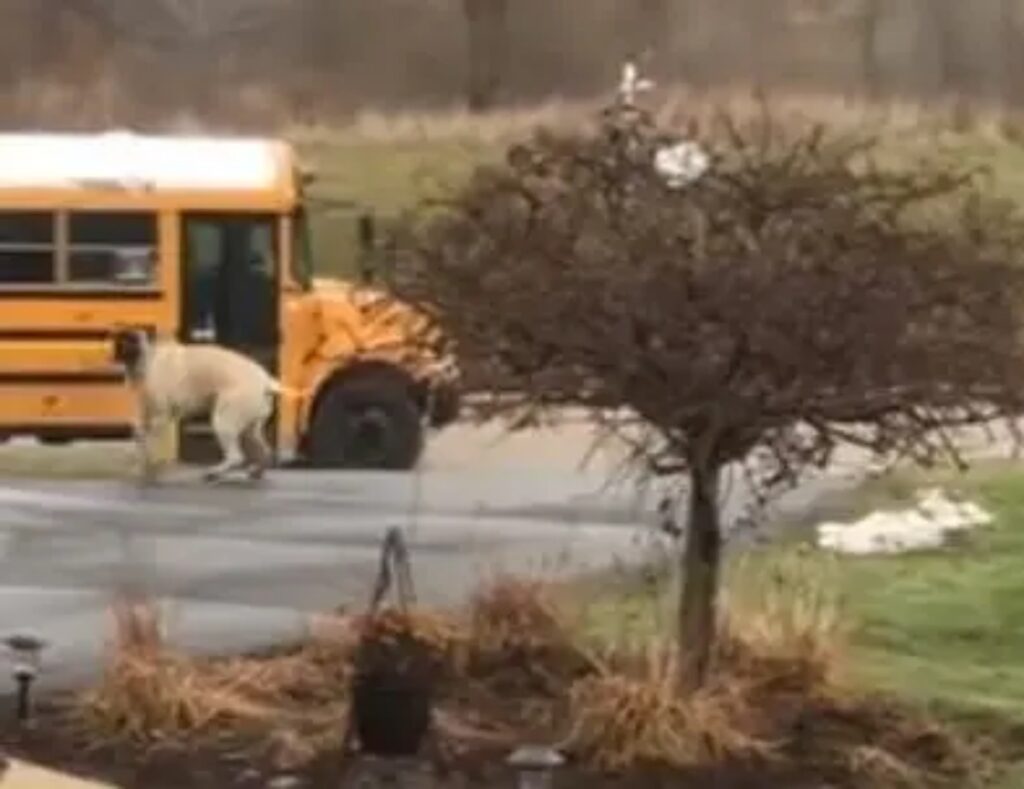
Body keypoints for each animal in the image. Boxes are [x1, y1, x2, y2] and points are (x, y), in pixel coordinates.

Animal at [111, 325, 278, 480]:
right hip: (250, 429)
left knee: (235, 456)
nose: (115, 352)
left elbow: (150, 443)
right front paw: (141, 466)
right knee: (264, 449)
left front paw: (149, 468)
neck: (149, 356)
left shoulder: (160, 417)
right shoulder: (147, 414)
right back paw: (256, 471)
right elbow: (140, 435)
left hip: (224, 422)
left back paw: (215, 472)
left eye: (125, 341)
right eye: (117, 340)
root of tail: (265, 382)